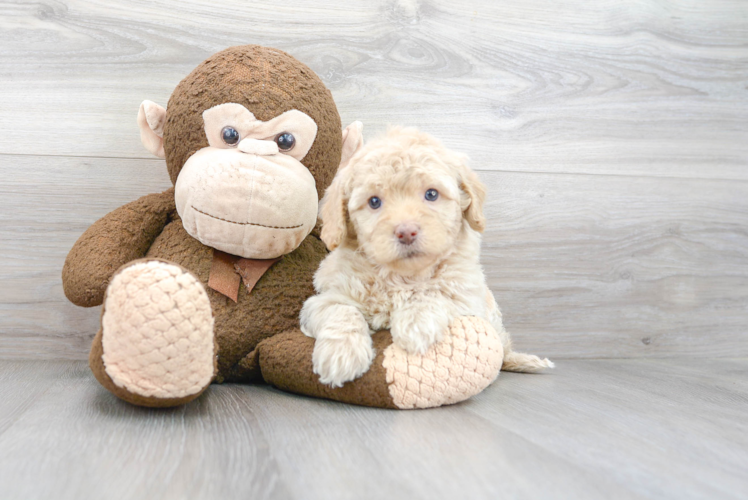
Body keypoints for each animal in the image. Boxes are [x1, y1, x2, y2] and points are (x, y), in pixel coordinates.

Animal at [300, 125, 552, 386]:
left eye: (431, 194)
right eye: (374, 201)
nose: (406, 232)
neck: (403, 276)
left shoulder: (467, 297)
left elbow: (436, 292)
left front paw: (415, 323)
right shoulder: (323, 299)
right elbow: (341, 310)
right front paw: (340, 355)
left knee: (503, 347)